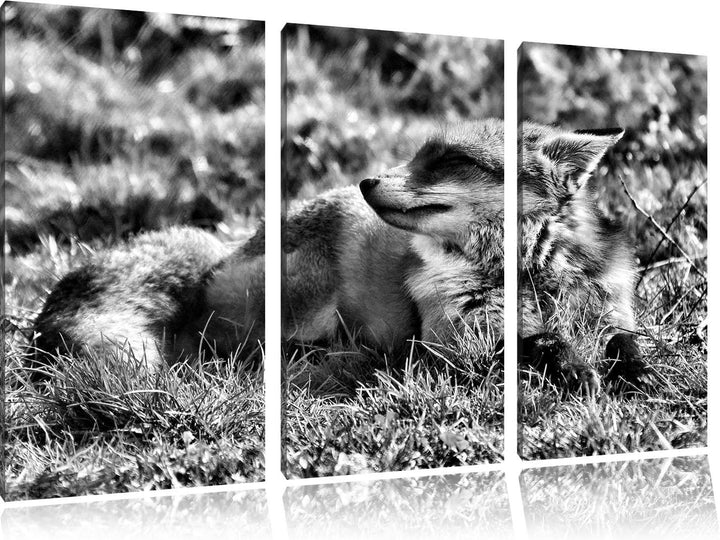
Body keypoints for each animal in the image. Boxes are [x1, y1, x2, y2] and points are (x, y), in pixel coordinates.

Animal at [32, 119, 646, 393]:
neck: (526, 277)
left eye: (448, 160)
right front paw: (570, 365)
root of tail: (226, 251)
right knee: (234, 351)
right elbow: (528, 346)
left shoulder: (610, 308)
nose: (367, 180)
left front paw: (633, 372)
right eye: (417, 154)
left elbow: (625, 342)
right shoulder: (455, 342)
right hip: (303, 301)